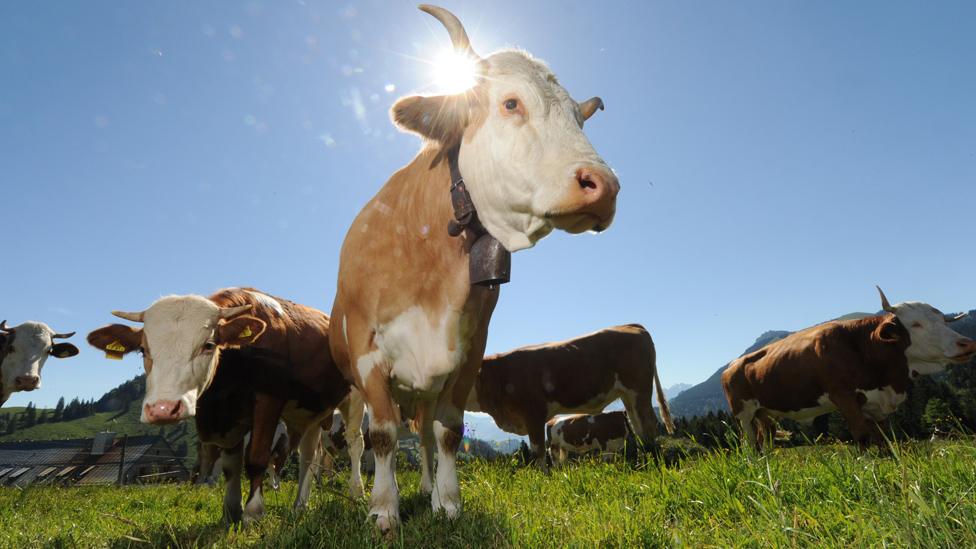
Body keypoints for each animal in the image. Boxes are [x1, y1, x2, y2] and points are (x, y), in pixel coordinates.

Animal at [86, 286, 362, 524]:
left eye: (208, 345)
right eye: (143, 349)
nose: (163, 409)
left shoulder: (268, 401)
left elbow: (256, 457)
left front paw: (253, 512)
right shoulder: (227, 418)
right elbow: (231, 465)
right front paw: (231, 511)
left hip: (355, 397)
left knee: (354, 442)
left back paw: (356, 491)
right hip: (311, 410)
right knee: (309, 455)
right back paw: (300, 506)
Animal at [328, 4, 616, 532]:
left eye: (577, 119)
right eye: (511, 103)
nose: (604, 186)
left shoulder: (467, 350)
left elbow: (447, 431)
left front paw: (446, 502)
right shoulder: (367, 354)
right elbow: (382, 435)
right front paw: (383, 509)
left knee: (422, 433)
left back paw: (423, 486)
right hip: (350, 389)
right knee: (359, 440)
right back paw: (361, 491)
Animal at [464, 322, 672, 470]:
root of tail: (631, 326)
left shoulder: (534, 414)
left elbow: (538, 453)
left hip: (639, 390)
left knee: (648, 426)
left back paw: (654, 464)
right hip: (628, 396)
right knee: (639, 428)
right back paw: (644, 463)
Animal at [720, 284, 972, 448]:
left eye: (942, 321)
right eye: (915, 324)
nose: (967, 343)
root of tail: (731, 366)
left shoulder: (876, 404)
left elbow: (884, 440)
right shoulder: (843, 396)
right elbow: (862, 437)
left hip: (764, 413)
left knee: (767, 441)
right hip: (743, 414)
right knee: (751, 445)